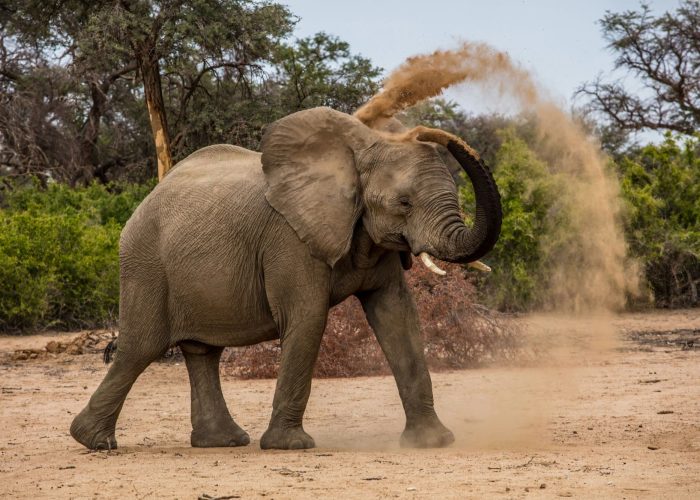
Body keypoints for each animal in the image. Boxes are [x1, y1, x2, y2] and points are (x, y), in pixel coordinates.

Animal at [69, 107, 498, 452]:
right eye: (404, 203)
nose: (423, 131)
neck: (358, 150)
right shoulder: (289, 239)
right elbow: (307, 317)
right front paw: (290, 446)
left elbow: (398, 316)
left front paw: (433, 442)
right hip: (145, 263)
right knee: (141, 348)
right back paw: (94, 442)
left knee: (202, 352)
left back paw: (222, 442)